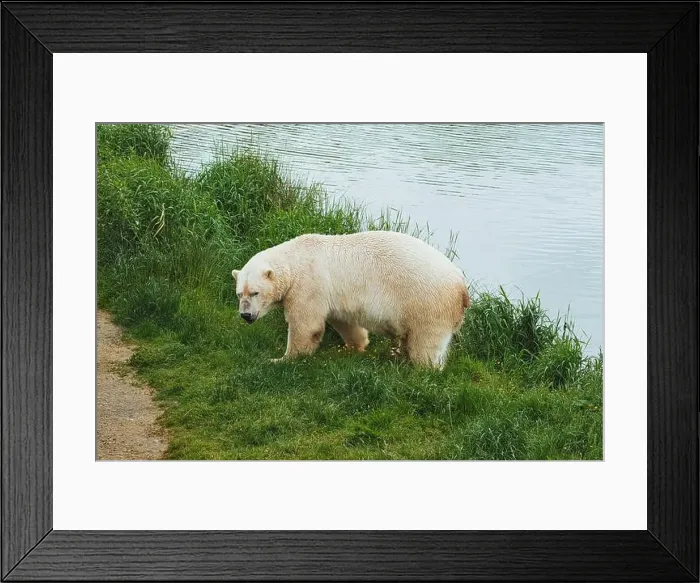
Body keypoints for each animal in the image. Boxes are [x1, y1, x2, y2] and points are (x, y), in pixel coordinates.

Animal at [231, 231, 471, 369]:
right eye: (239, 294)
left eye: (255, 293)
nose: (245, 315)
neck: (294, 261)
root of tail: (462, 286)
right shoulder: (333, 294)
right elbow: (344, 321)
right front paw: (355, 346)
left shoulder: (308, 285)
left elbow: (306, 325)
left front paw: (282, 359)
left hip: (427, 303)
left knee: (426, 343)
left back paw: (422, 368)